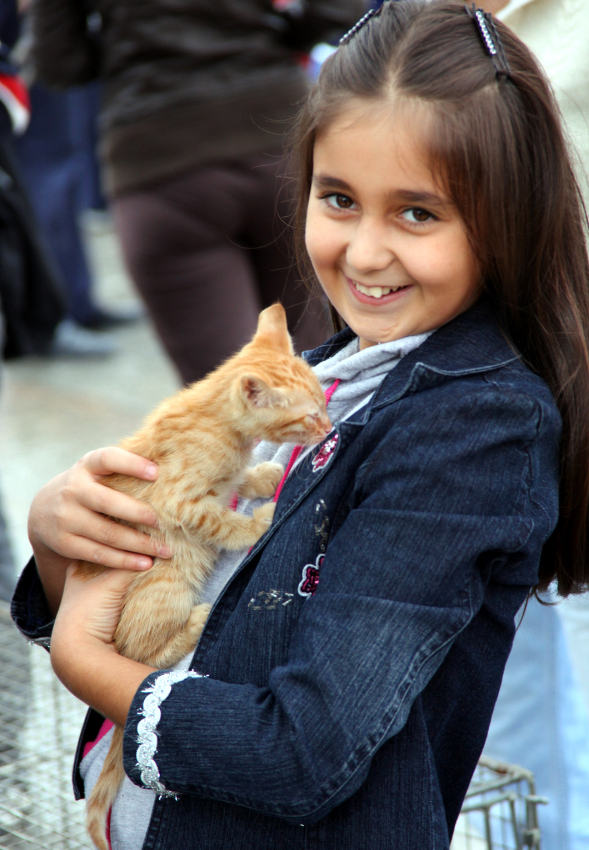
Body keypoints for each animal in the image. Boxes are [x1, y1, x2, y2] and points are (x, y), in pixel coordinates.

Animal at [79, 304, 330, 848]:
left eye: (324, 402)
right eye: (307, 414)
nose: (328, 428)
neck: (214, 416)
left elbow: (236, 483)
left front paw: (261, 477)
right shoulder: (181, 500)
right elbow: (223, 520)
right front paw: (261, 517)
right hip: (168, 587)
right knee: (144, 655)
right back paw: (194, 622)